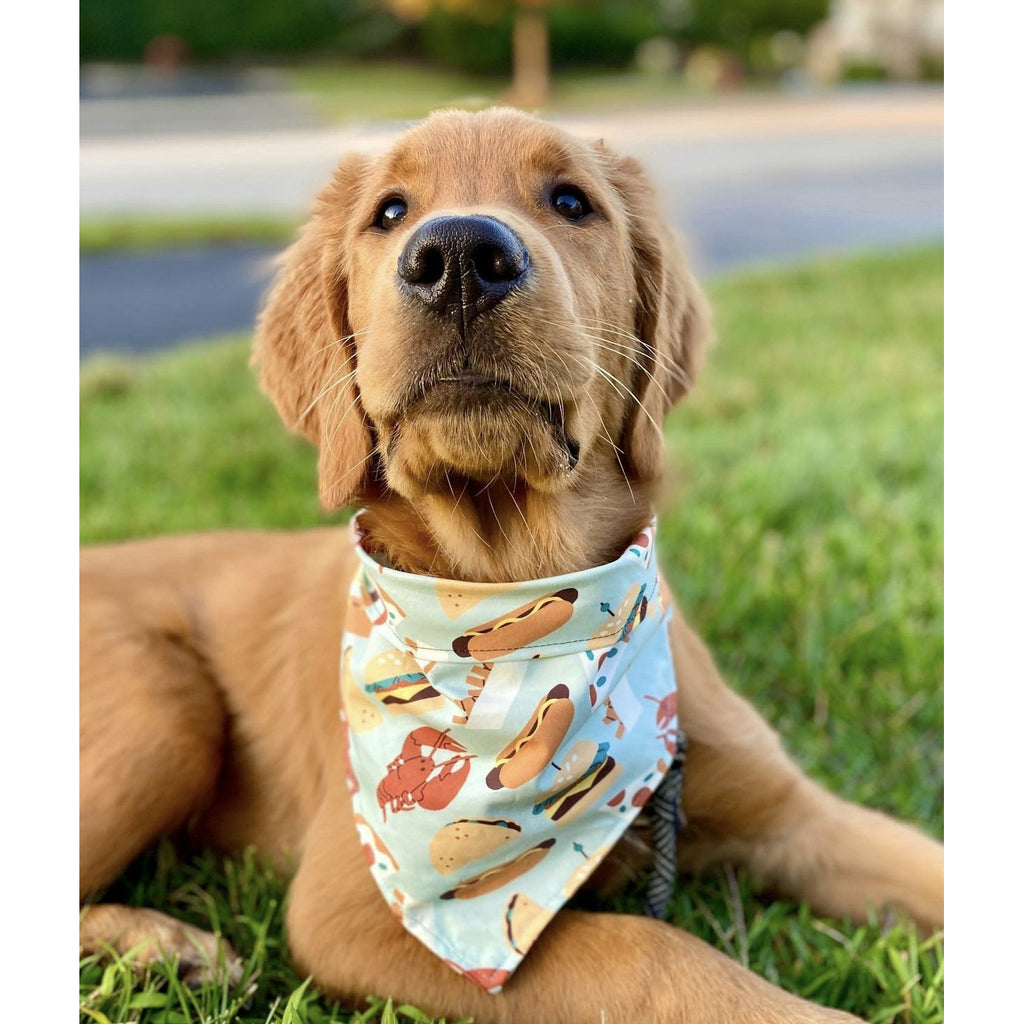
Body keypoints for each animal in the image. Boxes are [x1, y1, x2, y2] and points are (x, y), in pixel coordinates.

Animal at [79, 108, 942, 1019]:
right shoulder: (362, 908)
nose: (458, 256)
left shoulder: (795, 814)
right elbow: (647, 950)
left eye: (571, 200)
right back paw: (164, 948)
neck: (506, 589)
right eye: (390, 212)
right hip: (161, 705)